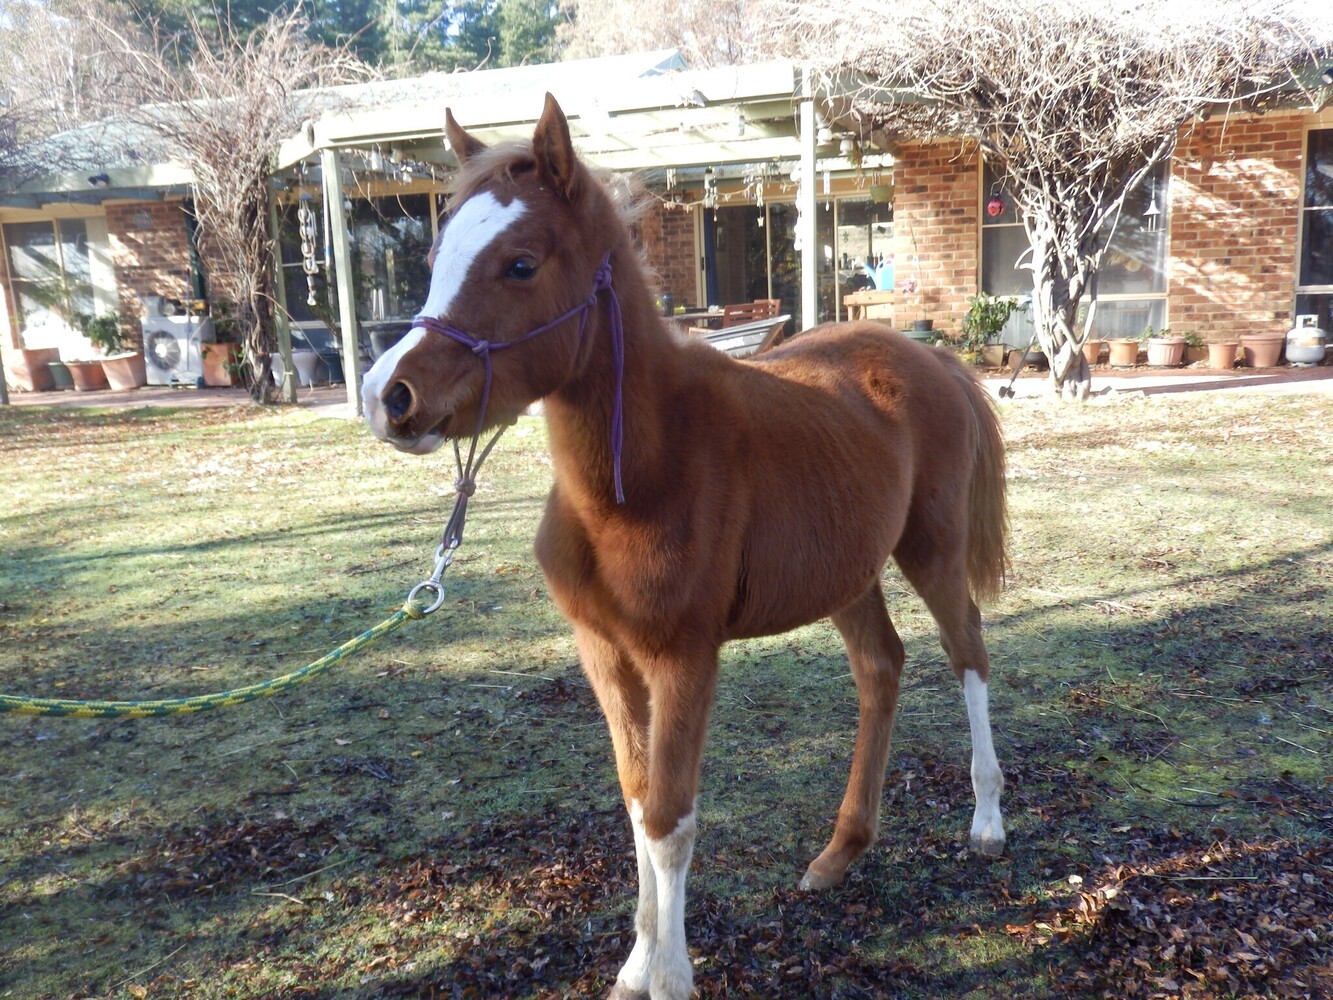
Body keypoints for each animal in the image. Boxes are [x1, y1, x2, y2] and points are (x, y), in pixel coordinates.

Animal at [362, 94, 1009, 1000]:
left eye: (520, 264)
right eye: (432, 252)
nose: (387, 396)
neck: (639, 477)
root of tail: (934, 359)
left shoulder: (684, 655)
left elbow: (671, 816)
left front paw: (667, 974)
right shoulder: (604, 651)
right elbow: (638, 801)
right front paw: (637, 963)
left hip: (932, 549)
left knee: (968, 653)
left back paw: (986, 820)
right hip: (847, 574)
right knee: (881, 667)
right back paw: (840, 851)